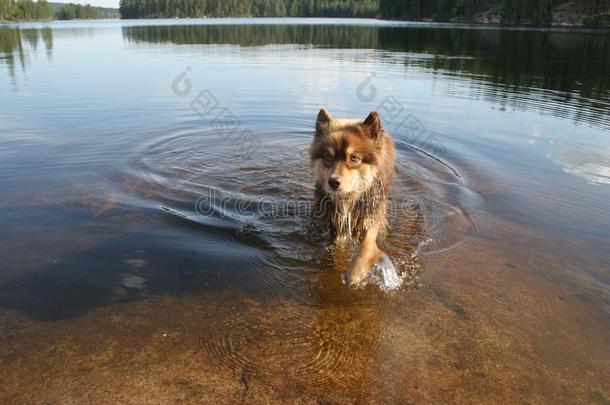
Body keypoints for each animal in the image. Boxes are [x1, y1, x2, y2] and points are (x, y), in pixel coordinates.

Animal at [308, 107, 394, 284]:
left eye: (353, 158)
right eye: (328, 158)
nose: (333, 182)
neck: (348, 198)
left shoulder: (371, 214)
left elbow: (367, 245)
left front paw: (356, 272)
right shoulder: (334, 222)